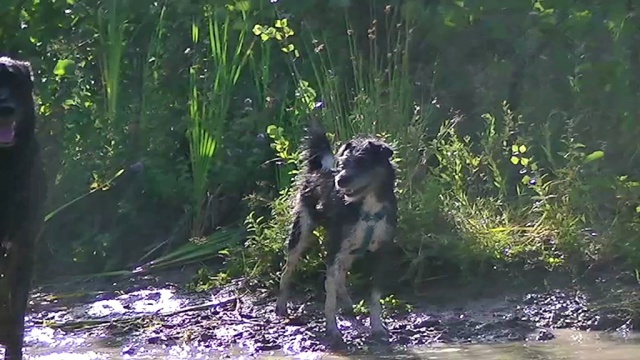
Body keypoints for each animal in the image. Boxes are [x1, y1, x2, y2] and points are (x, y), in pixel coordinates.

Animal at [276, 124, 400, 348]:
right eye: (342, 164)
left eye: (362, 162)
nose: (340, 180)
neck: (368, 208)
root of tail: (317, 169)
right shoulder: (335, 249)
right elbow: (329, 296)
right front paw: (333, 330)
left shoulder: (381, 253)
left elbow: (374, 297)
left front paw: (377, 327)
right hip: (301, 233)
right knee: (288, 271)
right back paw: (281, 305)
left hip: (349, 250)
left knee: (340, 275)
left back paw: (349, 305)